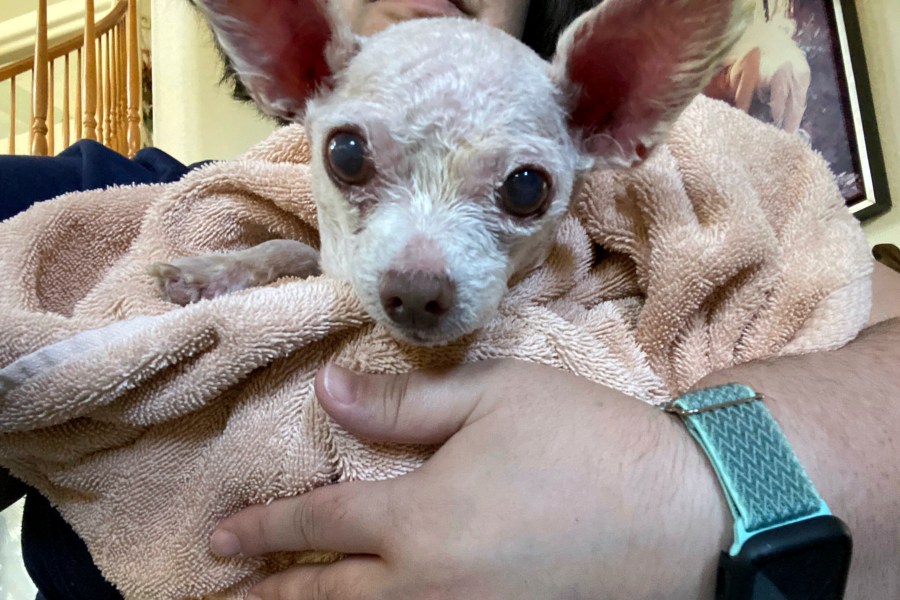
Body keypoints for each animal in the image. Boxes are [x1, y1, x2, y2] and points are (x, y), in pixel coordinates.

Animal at [151, 0, 748, 344]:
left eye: (526, 188)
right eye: (346, 155)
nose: (416, 291)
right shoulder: (329, 262)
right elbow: (288, 248)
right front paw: (210, 271)